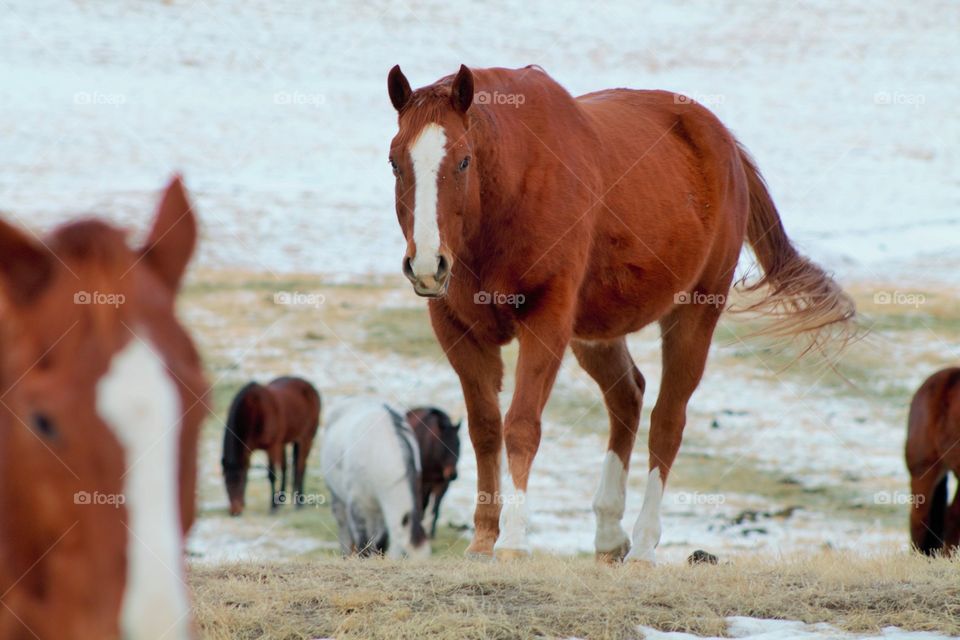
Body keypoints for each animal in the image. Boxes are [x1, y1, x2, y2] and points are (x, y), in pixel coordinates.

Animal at [221, 376, 321, 516]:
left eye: (240, 481)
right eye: (225, 483)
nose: (234, 512)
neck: (255, 412)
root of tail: (310, 387)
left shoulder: (271, 447)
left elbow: (271, 475)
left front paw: (273, 507)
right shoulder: (249, 451)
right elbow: (248, 470)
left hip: (306, 438)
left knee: (300, 467)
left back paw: (299, 503)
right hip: (285, 442)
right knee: (286, 468)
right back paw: (283, 499)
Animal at [321, 398, 430, 559]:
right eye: (405, 555)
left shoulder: (382, 510)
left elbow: (380, 542)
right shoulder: (357, 505)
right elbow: (362, 542)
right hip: (338, 496)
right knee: (343, 527)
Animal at [407, 406, 461, 538]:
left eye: (458, 444)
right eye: (444, 445)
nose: (452, 474)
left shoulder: (442, 483)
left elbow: (435, 508)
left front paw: (431, 533)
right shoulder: (421, 481)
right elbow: (421, 504)